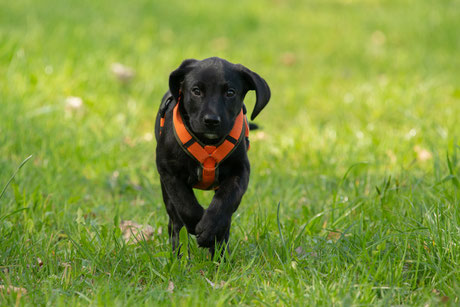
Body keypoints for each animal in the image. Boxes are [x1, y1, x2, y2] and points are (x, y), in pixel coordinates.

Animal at [155, 57, 270, 255]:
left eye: (230, 92)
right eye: (196, 91)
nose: (211, 120)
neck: (208, 143)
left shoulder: (240, 170)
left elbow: (226, 200)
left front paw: (210, 229)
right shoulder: (169, 171)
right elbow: (185, 202)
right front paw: (198, 224)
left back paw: (221, 255)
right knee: (175, 222)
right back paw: (178, 254)